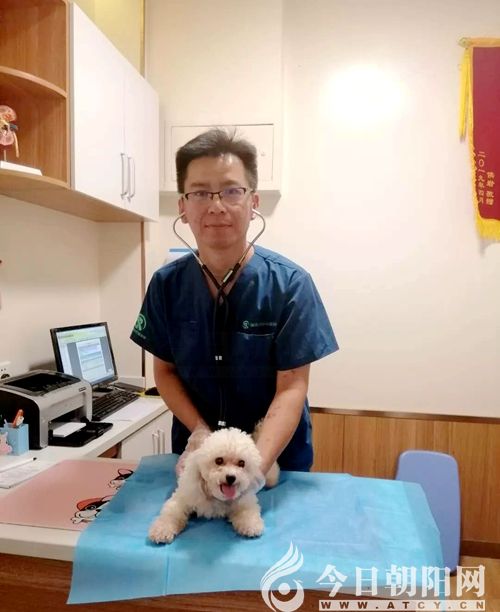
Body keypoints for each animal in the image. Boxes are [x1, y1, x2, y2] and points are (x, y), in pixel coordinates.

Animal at [149, 427, 279, 544]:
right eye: (219, 460)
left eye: (241, 463)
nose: (231, 477)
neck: (215, 496)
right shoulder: (185, 496)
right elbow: (171, 513)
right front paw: (161, 530)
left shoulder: (244, 499)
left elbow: (247, 511)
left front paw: (251, 525)